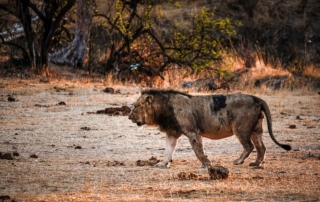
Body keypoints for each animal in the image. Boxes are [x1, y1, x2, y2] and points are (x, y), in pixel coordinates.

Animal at [129, 89, 292, 167]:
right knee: (261, 147)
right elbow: (168, 151)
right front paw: (162, 164)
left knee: (249, 146)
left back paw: (238, 161)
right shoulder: (171, 133)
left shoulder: (192, 131)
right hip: (256, 129)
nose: (129, 117)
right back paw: (257, 163)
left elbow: (198, 150)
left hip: (240, 128)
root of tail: (256, 98)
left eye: (136, 107)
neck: (162, 109)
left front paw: (206, 163)